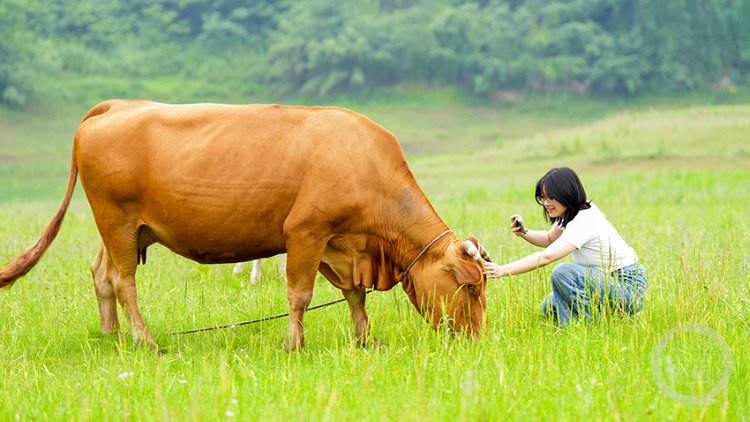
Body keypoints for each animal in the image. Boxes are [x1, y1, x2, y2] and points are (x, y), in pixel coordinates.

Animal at [0, 100, 489, 351]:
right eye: (470, 288)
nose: (480, 339)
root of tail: (116, 106)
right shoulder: (305, 233)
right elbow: (299, 294)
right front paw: (295, 344)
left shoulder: (344, 244)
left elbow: (354, 295)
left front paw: (366, 340)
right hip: (116, 220)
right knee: (123, 282)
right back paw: (146, 341)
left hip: (123, 229)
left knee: (101, 275)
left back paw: (111, 335)